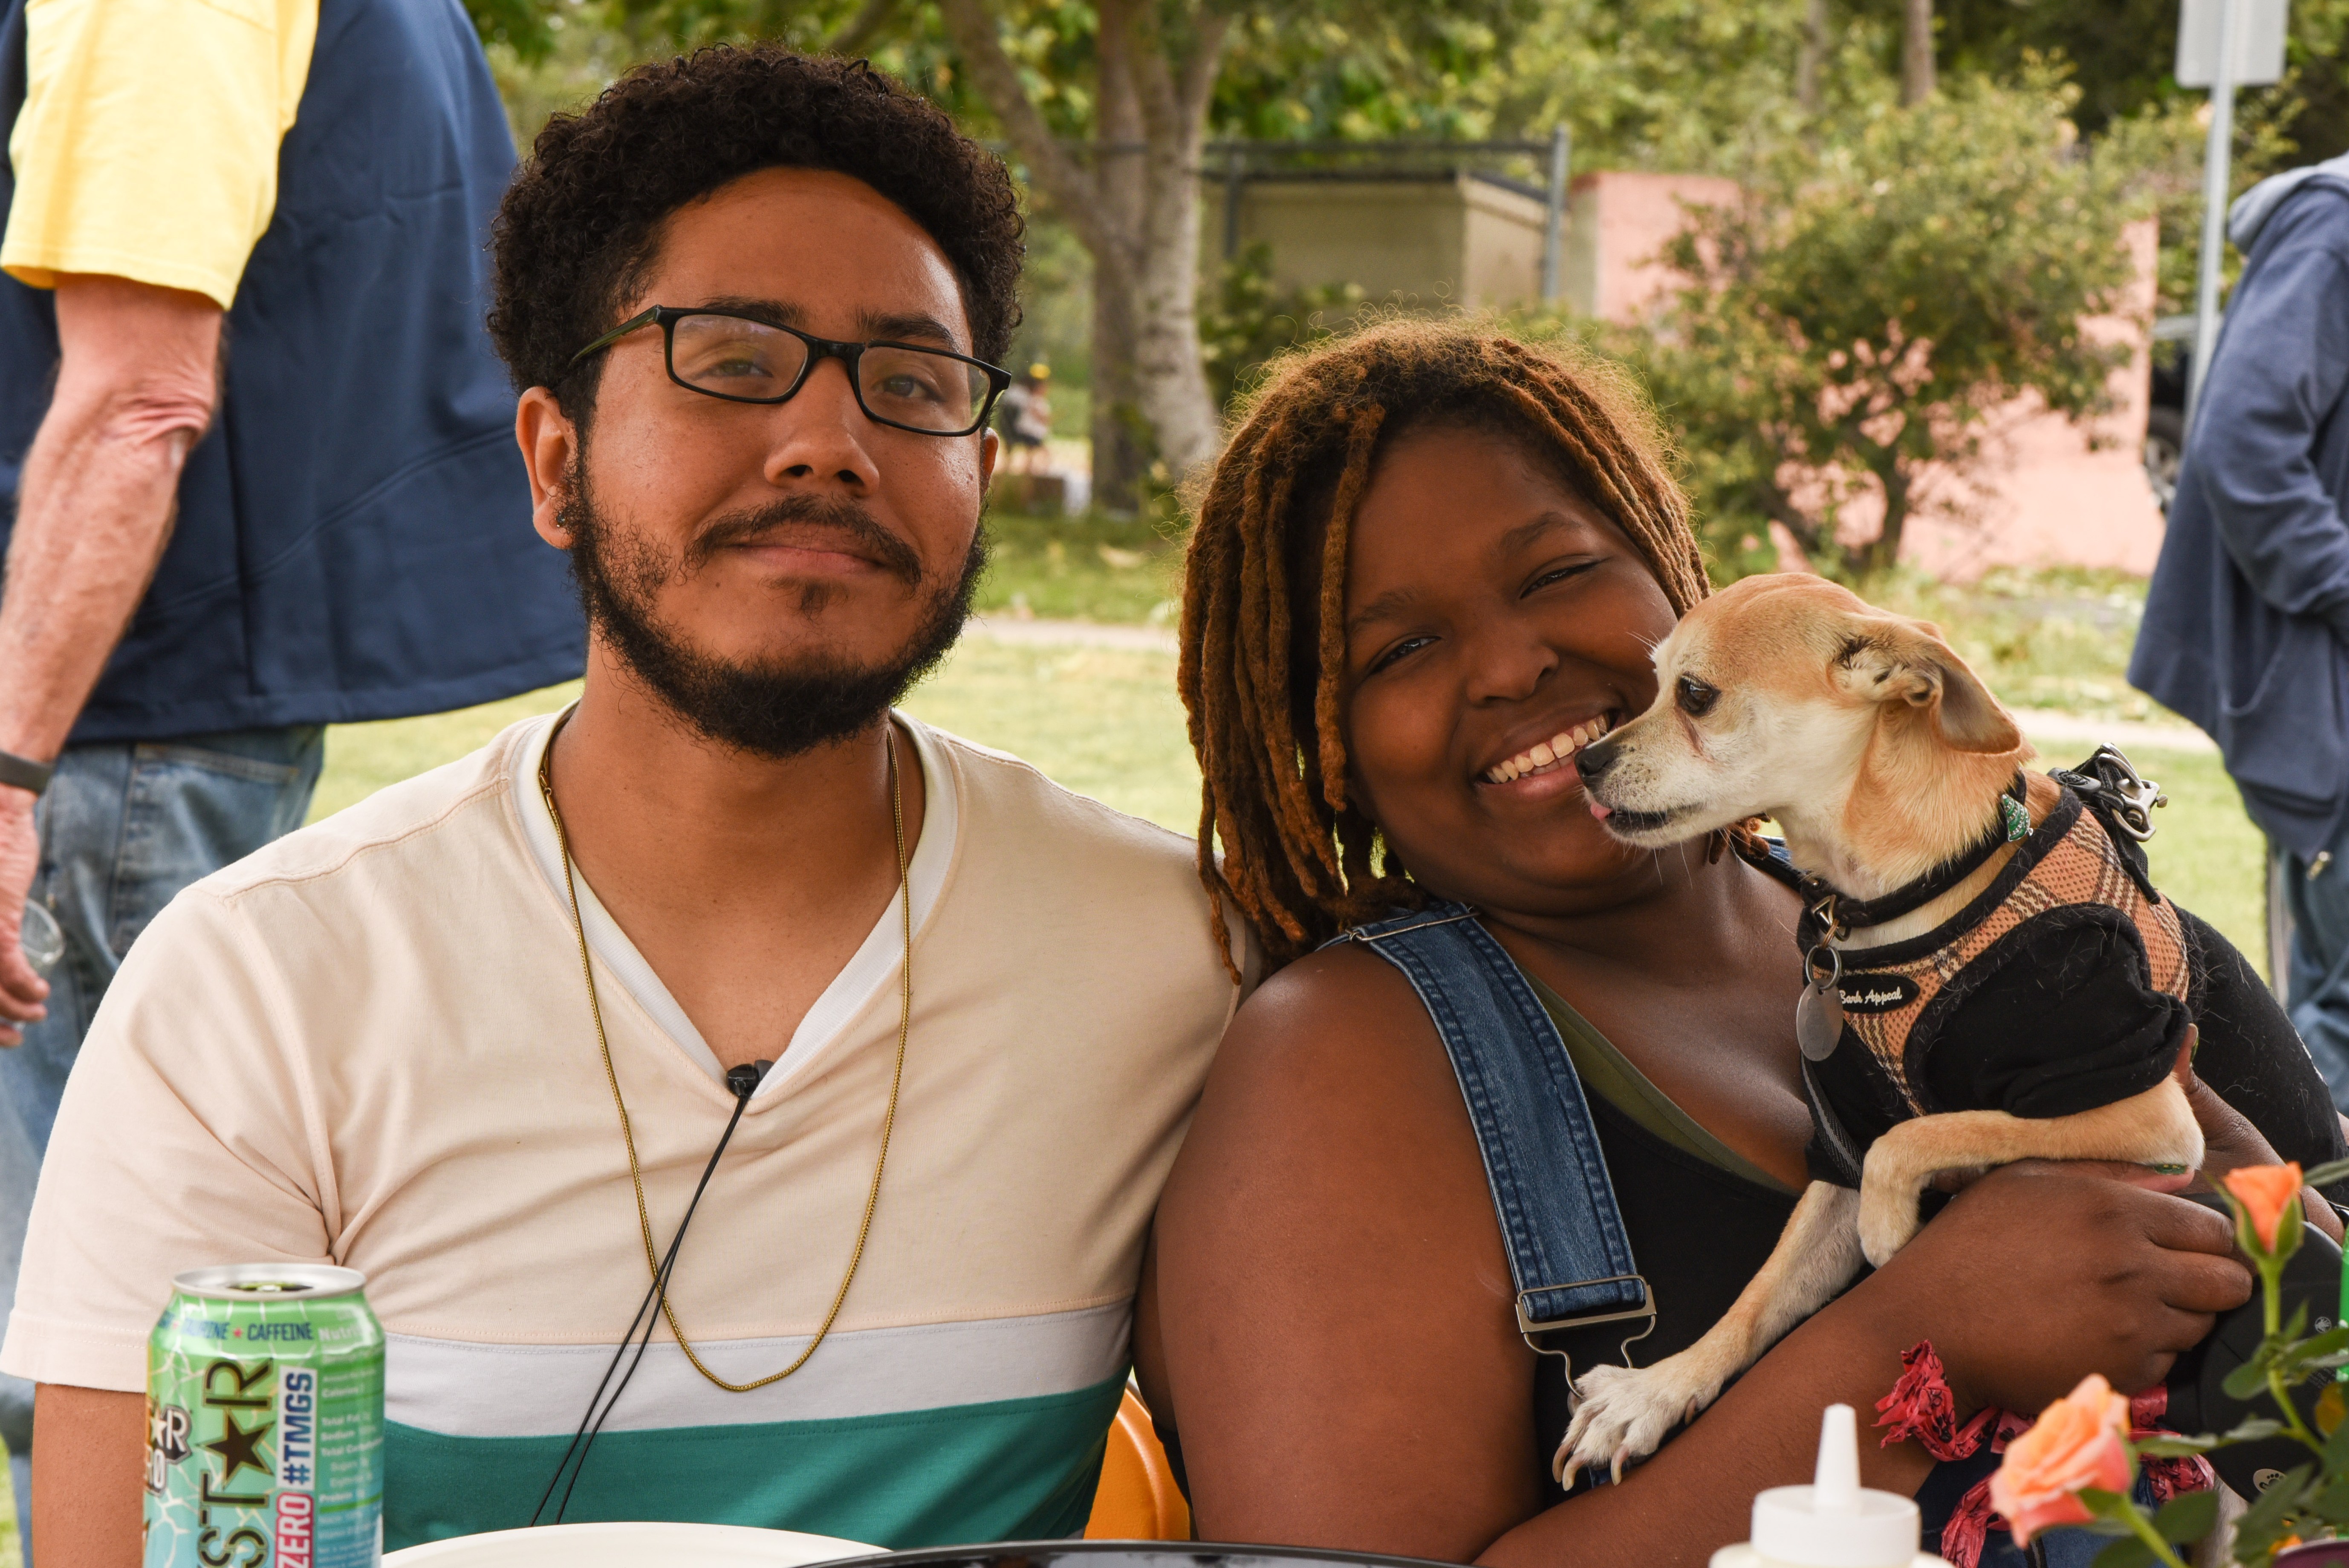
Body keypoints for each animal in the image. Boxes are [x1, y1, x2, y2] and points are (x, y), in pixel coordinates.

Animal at [1560, 580, 2199, 1493]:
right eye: (1650, 686)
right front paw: (1658, 1389)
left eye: (1694, 695)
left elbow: (1932, 1130)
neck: (1905, 898)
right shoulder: (1844, 1145)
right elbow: (1760, 1296)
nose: (1584, 760)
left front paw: (1893, 1230)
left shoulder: (2143, 1117)